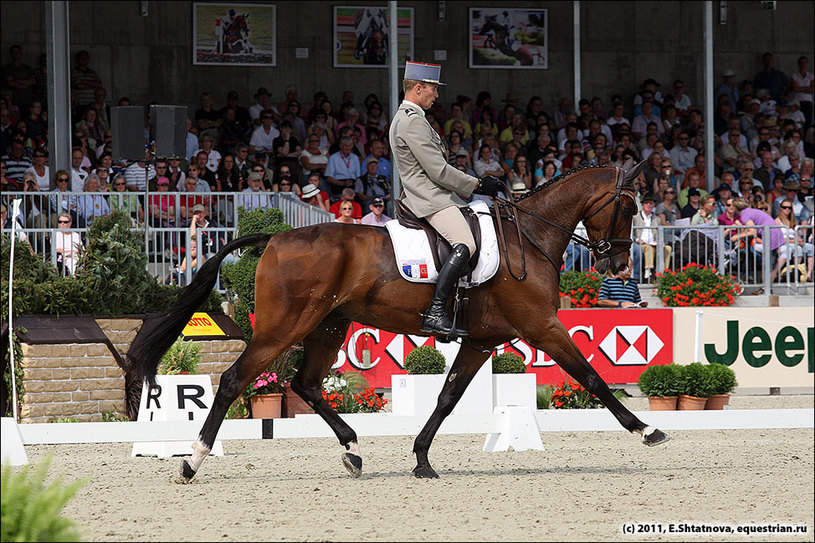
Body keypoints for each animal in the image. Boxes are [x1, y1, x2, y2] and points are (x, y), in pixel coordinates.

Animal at [124, 160, 668, 480]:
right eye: (628, 205)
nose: (621, 266)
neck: (530, 237)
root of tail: (276, 237)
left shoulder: (481, 341)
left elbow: (448, 398)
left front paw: (422, 459)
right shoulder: (543, 327)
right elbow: (592, 378)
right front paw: (646, 430)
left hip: (329, 326)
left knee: (306, 383)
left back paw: (352, 450)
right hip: (285, 327)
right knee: (236, 379)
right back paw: (192, 461)